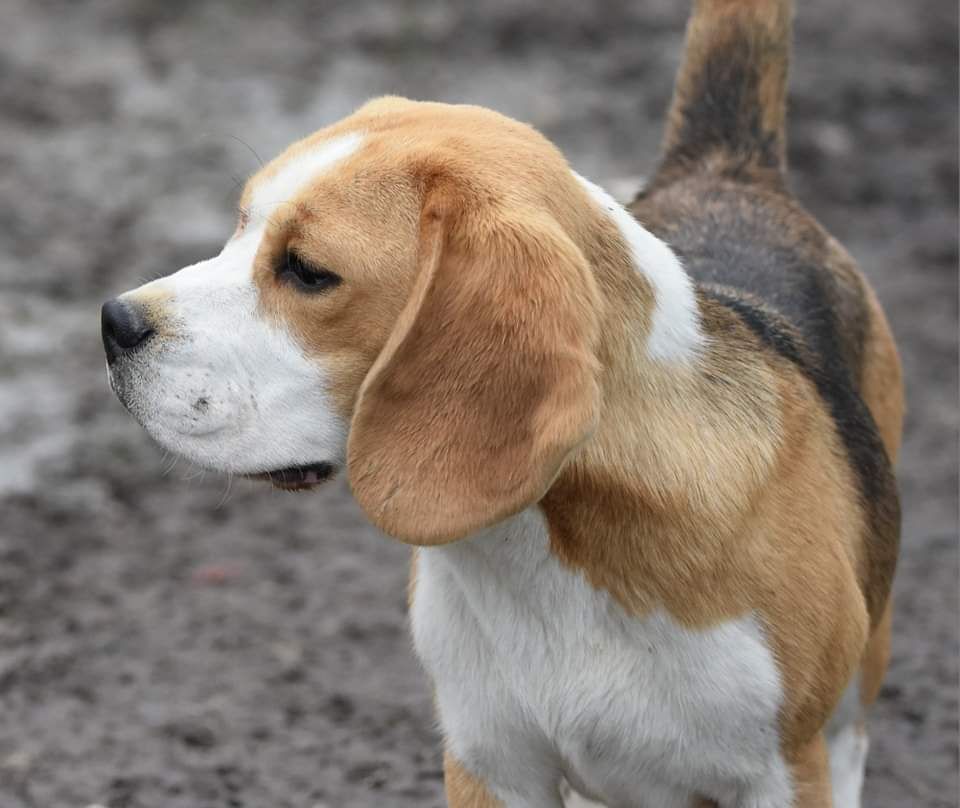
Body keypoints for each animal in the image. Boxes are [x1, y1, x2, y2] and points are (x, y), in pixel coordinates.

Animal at [103, 1, 900, 808]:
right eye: (241, 225)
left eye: (307, 271)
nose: (114, 323)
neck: (545, 549)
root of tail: (731, 176)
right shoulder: (490, 761)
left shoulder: (780, 772)